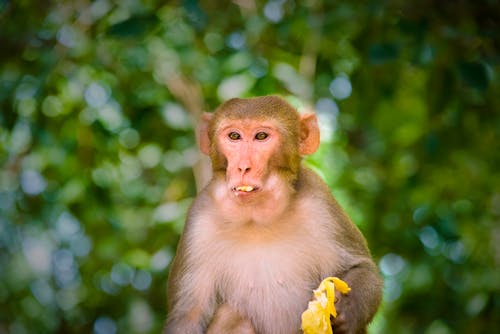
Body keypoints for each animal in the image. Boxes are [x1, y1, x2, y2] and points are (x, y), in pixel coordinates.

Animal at [164, 95, 382, 332]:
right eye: (234, 136)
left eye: (261, 136)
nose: (243, 167)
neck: (258, 219)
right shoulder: (199, 221)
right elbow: (188, 316)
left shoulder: (321, 203)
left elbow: (362, 268)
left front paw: (348, 310)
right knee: (232, 314)